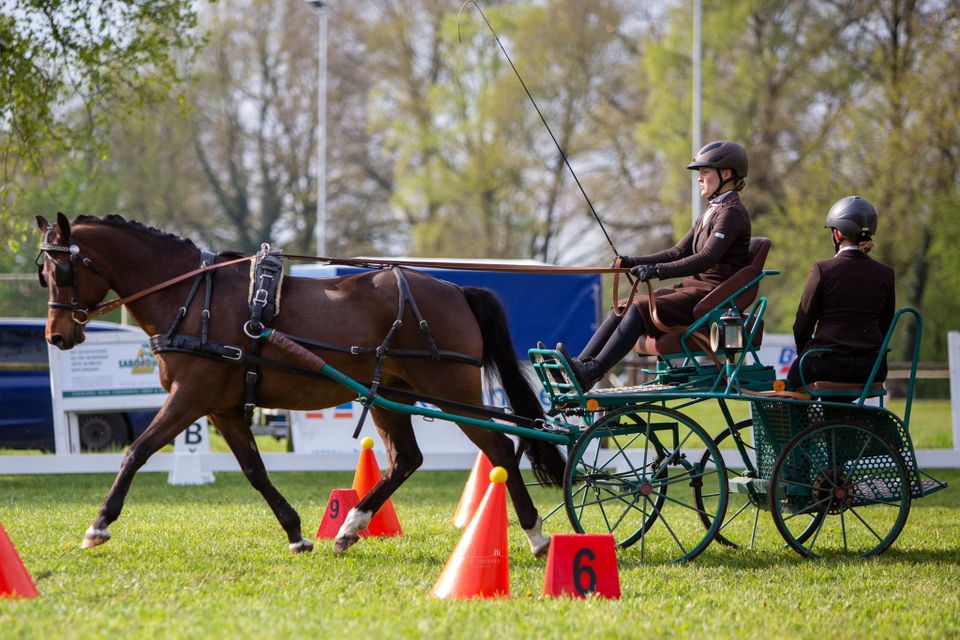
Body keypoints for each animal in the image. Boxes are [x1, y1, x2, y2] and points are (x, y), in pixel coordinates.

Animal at [37, 214, 564, 556]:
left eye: (61, 269)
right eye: (43, 273)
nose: (57, 336)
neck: (191, 297)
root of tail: (456, 289)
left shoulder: (191, 397)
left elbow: (136, 451)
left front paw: (99, 525)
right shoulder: (223, 407)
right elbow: (255, 471)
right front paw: (296, 533)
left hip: (454, 395)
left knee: (499, 450)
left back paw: (537, 536)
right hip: (390, 395)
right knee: (406, 459)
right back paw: (349, 529)